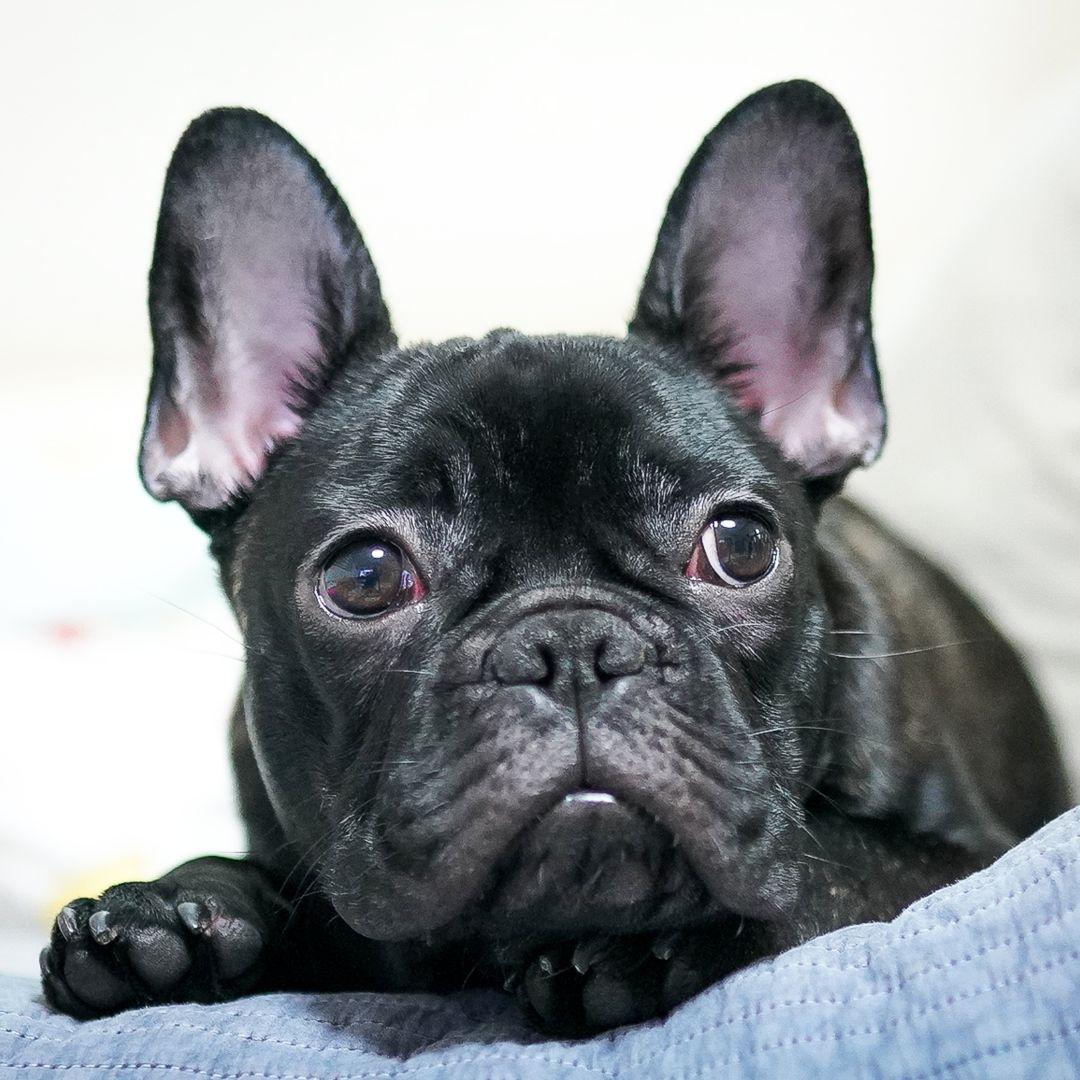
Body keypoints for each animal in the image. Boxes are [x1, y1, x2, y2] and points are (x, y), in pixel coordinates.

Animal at [44, 82, 1071, 1028]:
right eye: (365, 577)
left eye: (740, 545)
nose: (572, 647)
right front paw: (176, 909)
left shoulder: (957, 855)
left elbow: (830, 864)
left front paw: (657, 940)